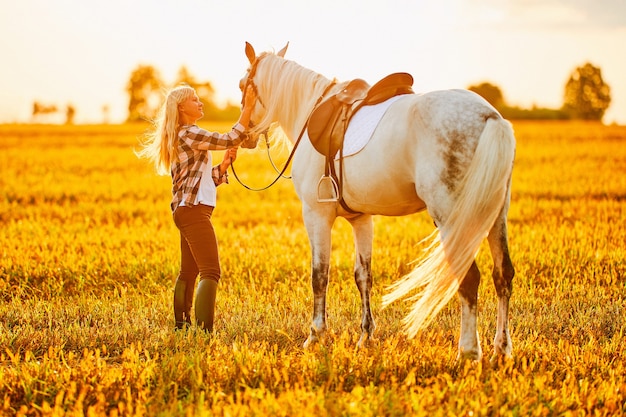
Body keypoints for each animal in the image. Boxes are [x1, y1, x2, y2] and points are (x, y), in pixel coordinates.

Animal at [236, 40, 516, 362]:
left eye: (242, 85)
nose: (243, 135)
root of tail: (490, 117)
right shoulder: (361, 219)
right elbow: (363, 275)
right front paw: (365, 336)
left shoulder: (316, 215)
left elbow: (319, 275)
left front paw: (315, 336)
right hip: (495, 215)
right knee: (503, 275)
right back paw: (501, 350)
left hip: (453, 220)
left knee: (468, 277)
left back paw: (468, 352)